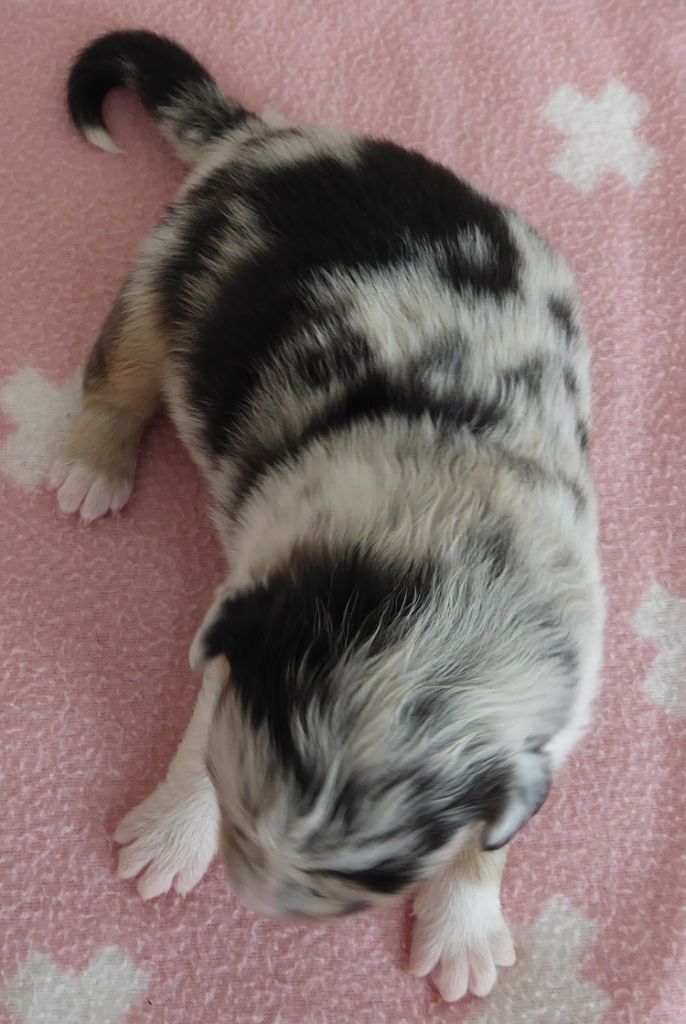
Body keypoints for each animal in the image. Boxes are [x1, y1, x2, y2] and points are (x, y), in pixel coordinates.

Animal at [50, 30, 604, 1002]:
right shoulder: (250, 613)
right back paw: (92, 467)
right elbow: (202, 729)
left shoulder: (552, 714)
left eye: (374, 878)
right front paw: (167, 838)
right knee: (123, 365)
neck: (448, 577)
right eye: (239, 814)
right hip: (167, 269)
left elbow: (495, 837)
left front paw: (464, 937)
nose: (256, 899)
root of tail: (272, 136)